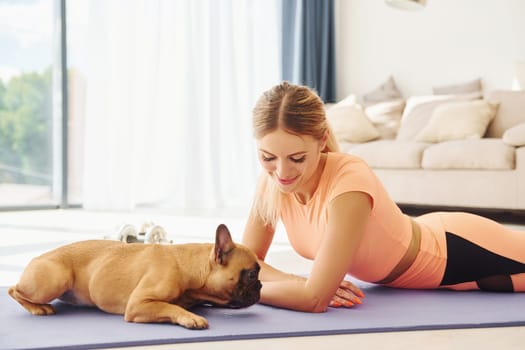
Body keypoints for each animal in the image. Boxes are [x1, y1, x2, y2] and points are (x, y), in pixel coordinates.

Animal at [7, 224, 260, 328]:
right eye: (250, 274)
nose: (260, 286)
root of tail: (38, 256)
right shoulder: (139, 304)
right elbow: (170, 306)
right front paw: (190, 317)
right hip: (55, 279)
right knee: (13, 290)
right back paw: (37, 308)